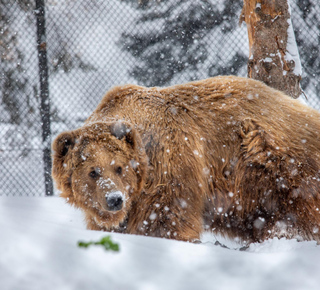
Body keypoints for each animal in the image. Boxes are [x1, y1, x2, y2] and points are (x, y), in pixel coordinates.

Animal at [52, 76, 320, 244]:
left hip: (276, 160)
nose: (114, 199)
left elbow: (166, 219)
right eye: (92, 171)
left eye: (119, 167)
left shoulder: (170, 167)